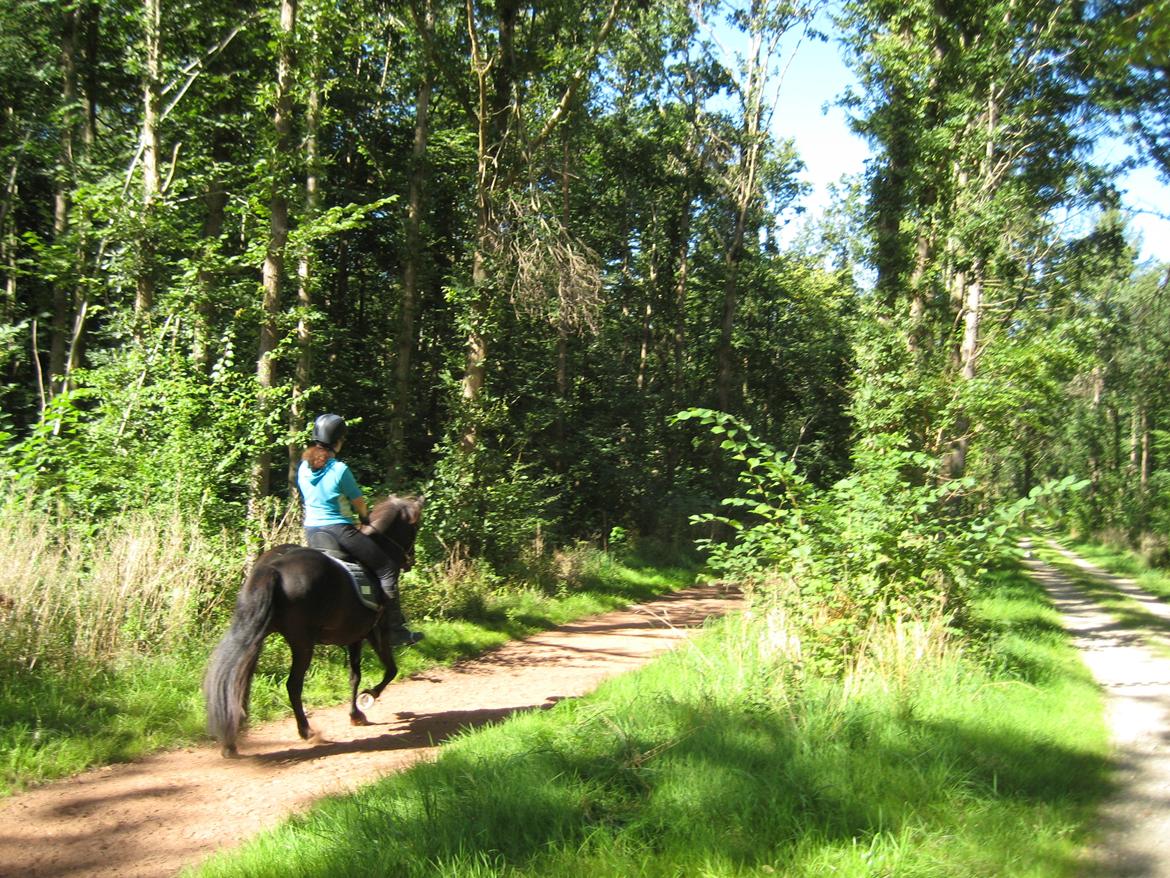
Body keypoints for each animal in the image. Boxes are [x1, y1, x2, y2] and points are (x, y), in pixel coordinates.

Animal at [203, 496, 423, 758]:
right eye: (415, 527)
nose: (410, 561)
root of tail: (274, 567)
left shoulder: (354, 636)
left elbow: (354, 676)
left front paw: (356, 714)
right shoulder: (374, 631)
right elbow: (390, 669)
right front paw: (368, 697)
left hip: (258, 635)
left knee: (241, 680)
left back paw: (231, 741)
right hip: (302, 643)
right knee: (293, 685)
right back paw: (306, 731)